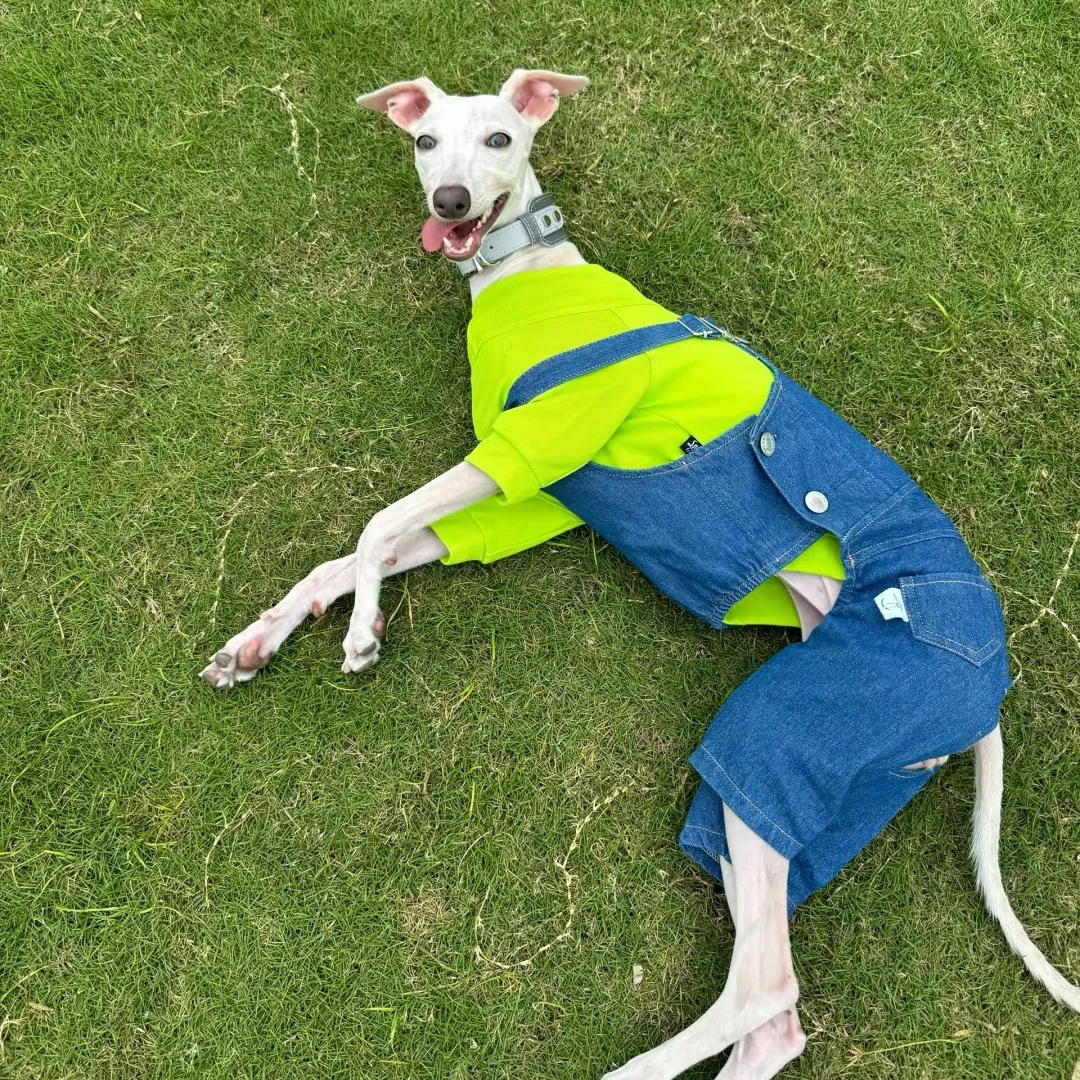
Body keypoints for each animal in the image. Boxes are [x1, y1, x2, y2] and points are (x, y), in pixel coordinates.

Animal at [202, 71, 1080, 1079]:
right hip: (803, 783)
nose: (450, 204)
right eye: (425, 142)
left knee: (764, 986)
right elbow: (358, 551)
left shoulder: (532, 445)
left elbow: (378, 522)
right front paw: (266, 639)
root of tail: (993, 687)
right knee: (775, 1013)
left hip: (778, 735)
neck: (527, 271)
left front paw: (358, 635)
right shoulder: (533, 493)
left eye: (500, 139)